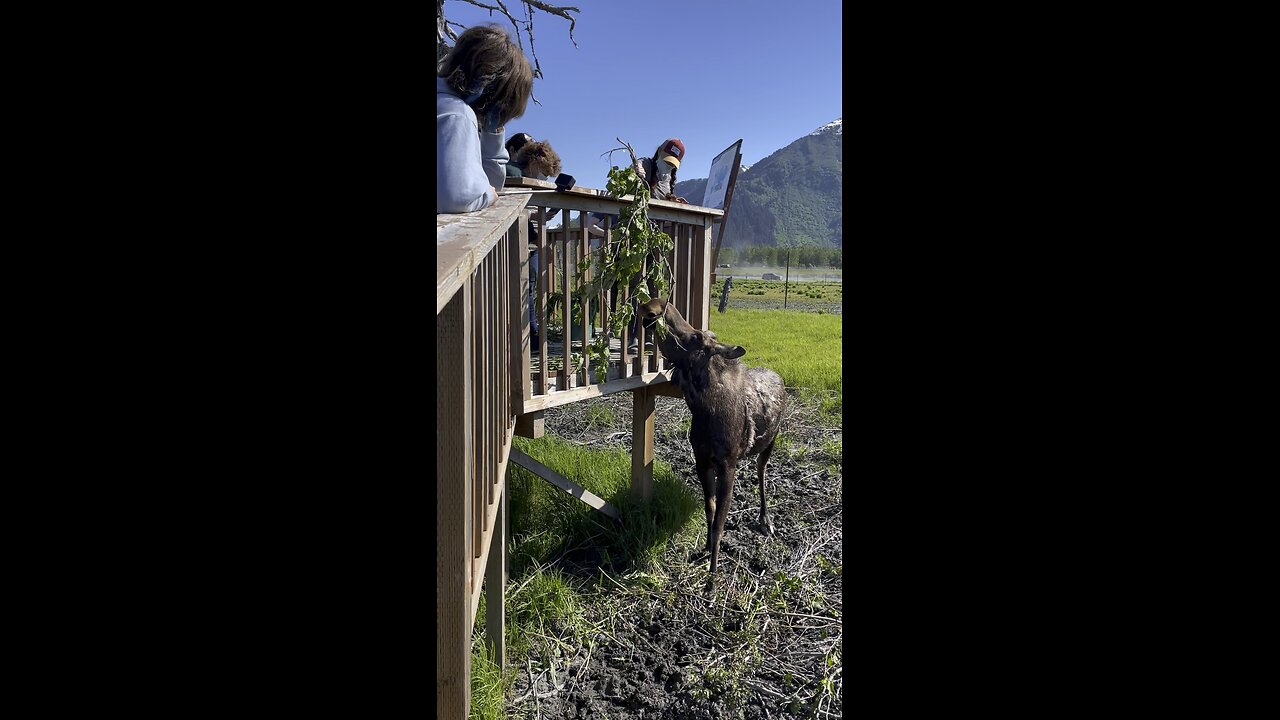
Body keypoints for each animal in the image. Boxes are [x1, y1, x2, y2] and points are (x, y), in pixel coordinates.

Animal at [634, 297, 783, 571]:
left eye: (696, 337)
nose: (654, 303)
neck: (705, 410)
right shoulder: (702, 461)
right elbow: (709, 510)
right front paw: (704, 548)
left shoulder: (727, 465)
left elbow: (720, 522)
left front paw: (712, 572)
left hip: (770, 442)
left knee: (762, 472)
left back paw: (765, 519)